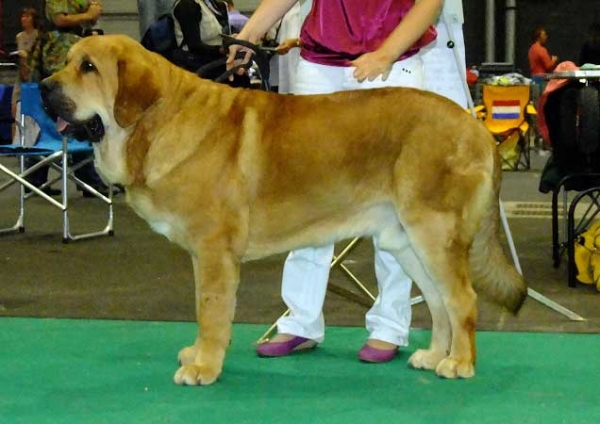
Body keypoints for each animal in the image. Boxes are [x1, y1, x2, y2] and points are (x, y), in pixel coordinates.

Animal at [41, 34, 524, 386]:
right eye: (68, 61)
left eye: (88, 67)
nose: (43, 88)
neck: (154, 122)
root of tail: (474, 126)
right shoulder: (204, 255)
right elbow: (203, 309)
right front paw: (199, 355)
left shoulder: (214, 252)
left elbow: (211, 312)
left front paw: (204, 367)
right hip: (405, 240)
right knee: (439, 302)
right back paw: (433, 355)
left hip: (433, 232)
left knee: (462, 299)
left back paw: (459, 363)